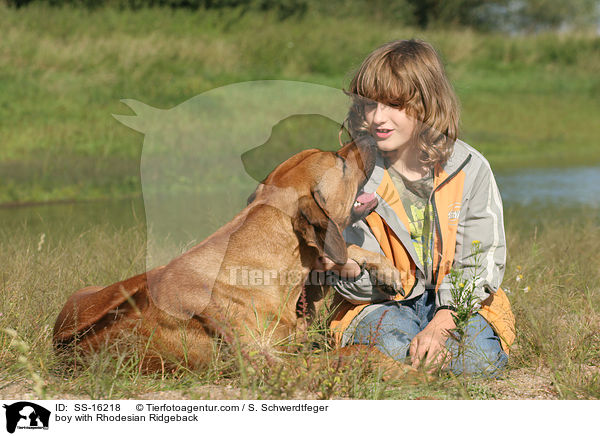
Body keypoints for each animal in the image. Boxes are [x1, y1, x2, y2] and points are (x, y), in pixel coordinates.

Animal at [52, 139, 404, 372]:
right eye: (340, 161)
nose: (368, 135)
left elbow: (347, 252)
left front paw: (386, 270)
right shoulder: (272, 364)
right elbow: (357, 352)